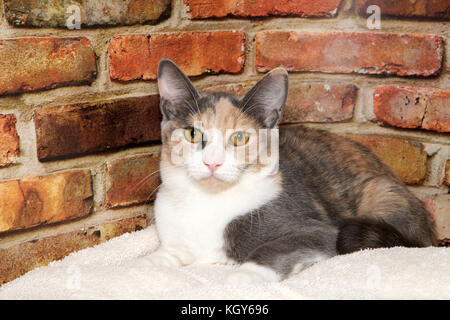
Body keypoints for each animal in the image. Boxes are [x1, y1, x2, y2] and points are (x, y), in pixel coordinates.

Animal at [149, 58, 438, 284]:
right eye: (192, 133)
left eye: (240, 138)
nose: (212, 162)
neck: (207, 200)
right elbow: (166, 254)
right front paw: (154, 262)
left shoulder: (316, 230)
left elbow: (274, 248)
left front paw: (244, 275)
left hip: (381, 194)